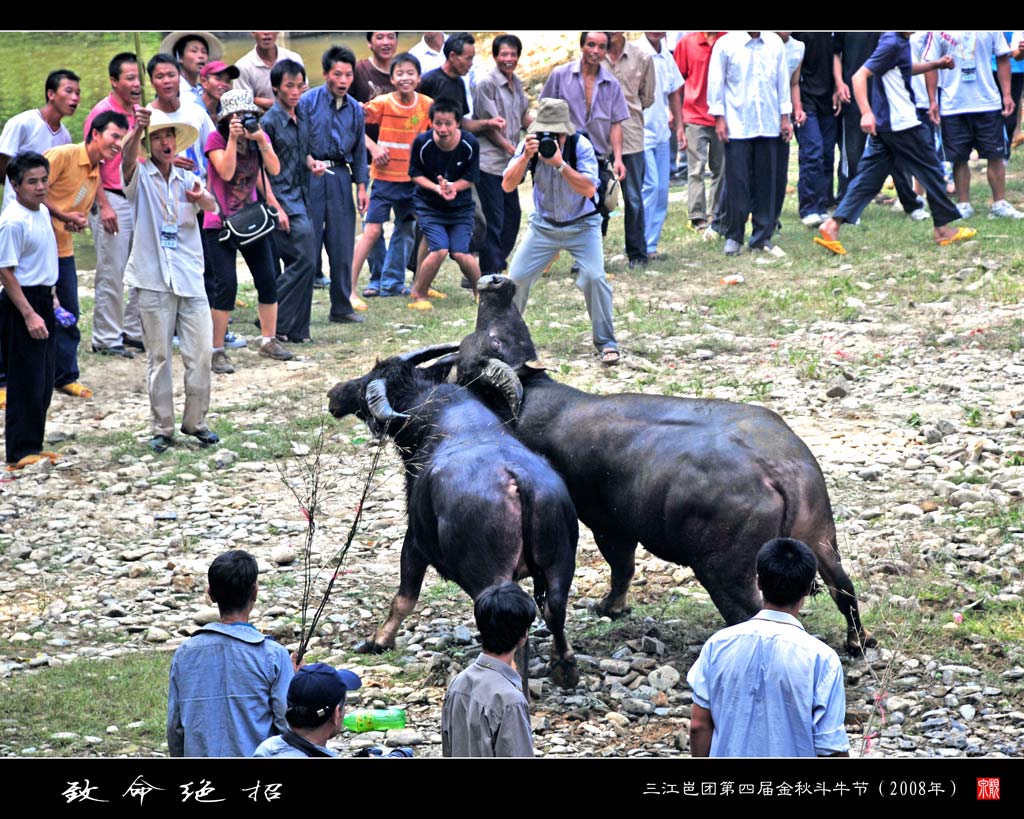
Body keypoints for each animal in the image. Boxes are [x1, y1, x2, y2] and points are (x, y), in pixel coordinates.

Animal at [329, 341, 581, 687]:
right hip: (560, 561)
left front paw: (378, 641)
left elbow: (404, 597)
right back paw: (564, 667)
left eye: (368, 379)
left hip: (490, 575)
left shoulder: (415, 540)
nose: (335, 394)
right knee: (555, 609)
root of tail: (518, 481)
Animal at [454, 274, 872, 651]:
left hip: (726, 569)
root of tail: (781, 472)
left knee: (750, 610)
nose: (495, 282)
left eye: (481, 343)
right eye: (508, 333)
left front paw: (609, 608)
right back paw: (858, 641)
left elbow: (621, 566)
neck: (532, 403)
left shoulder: (609, 525)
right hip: (820, 537)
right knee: (844, 589)